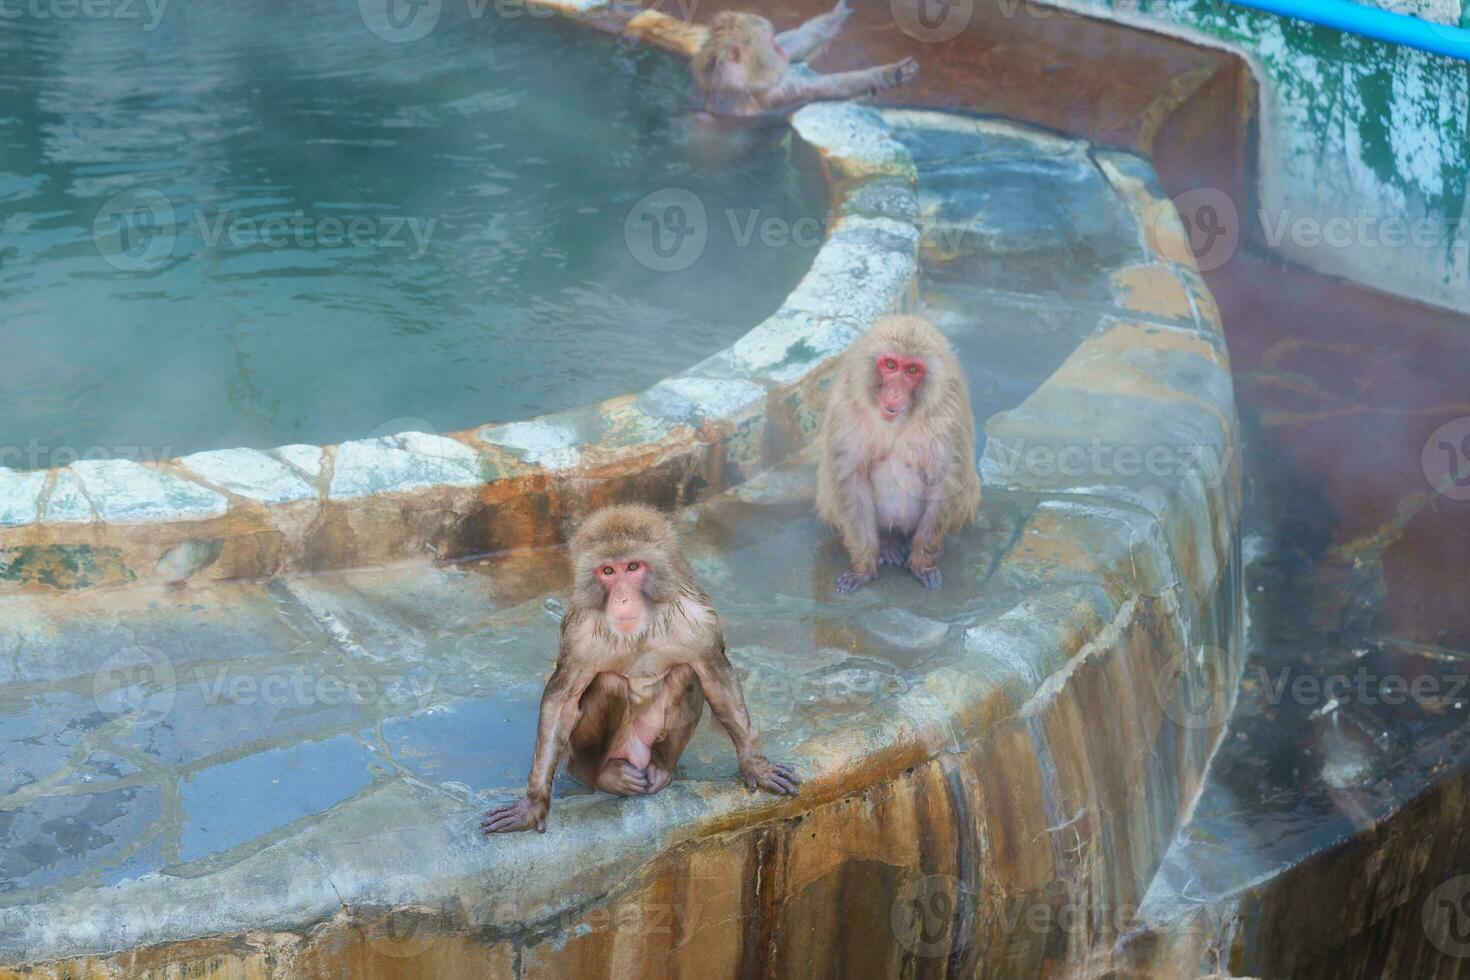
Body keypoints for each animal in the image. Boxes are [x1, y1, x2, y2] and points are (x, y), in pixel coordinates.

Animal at [482, 505, 799, 834]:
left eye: (633, 567)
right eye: (608, 571)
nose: (622, 599)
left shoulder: (699, 623)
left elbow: (716, 681)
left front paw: (756, 765)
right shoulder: (579, 637)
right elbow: (562, 702)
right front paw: (532, 806)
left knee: (687, 674)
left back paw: (661, 767)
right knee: (608, 685)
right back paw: (594, 773)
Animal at [690, 2, 917, 118]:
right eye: (771, 45)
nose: (779, 50)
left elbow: (797, 40)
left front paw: (837, 14)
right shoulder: (775, 94)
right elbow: (831, 86)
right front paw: (890, 73)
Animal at [823, 315, 981, 590]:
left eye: (912, 371)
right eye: (890, 365)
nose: (894, 393)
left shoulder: (949, 414)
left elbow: (945, 480)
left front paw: (923, 561)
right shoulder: (846, 407)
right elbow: (850, 477)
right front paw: (863, 568)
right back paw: (885, 544)